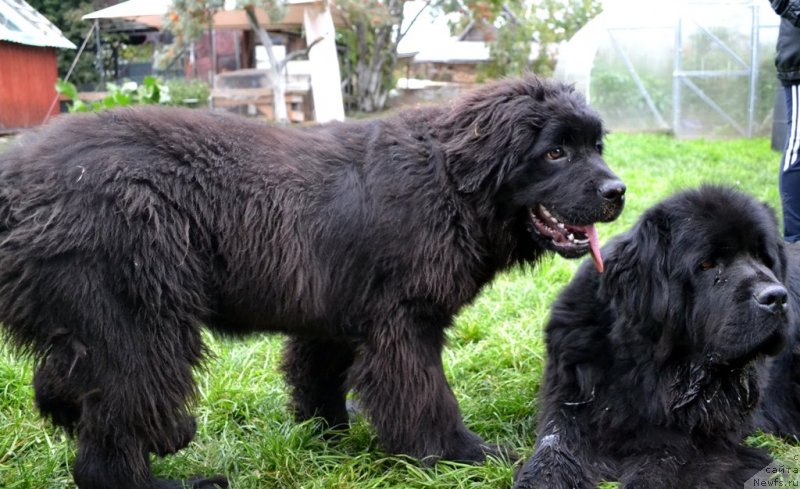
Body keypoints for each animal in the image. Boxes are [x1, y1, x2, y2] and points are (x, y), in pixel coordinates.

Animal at [0, 76, 624, 488]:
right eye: (555, 151)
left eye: (597, 146)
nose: (617, 191)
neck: (451, 184)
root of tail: (18, 178)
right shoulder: (404, 320)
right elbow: (425, 394)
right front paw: (459, 455)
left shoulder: (336, 312)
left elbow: (318, 375)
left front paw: (327, 436)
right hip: (135, 318)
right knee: (111, 432)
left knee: (72, 382)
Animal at [512, 186, 792, 488]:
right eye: (707, 264)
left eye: (765, 260)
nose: (776, 297)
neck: (648, 361)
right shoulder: (571, 396)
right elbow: (554, 446)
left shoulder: (699, 442)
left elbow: (659, 468)